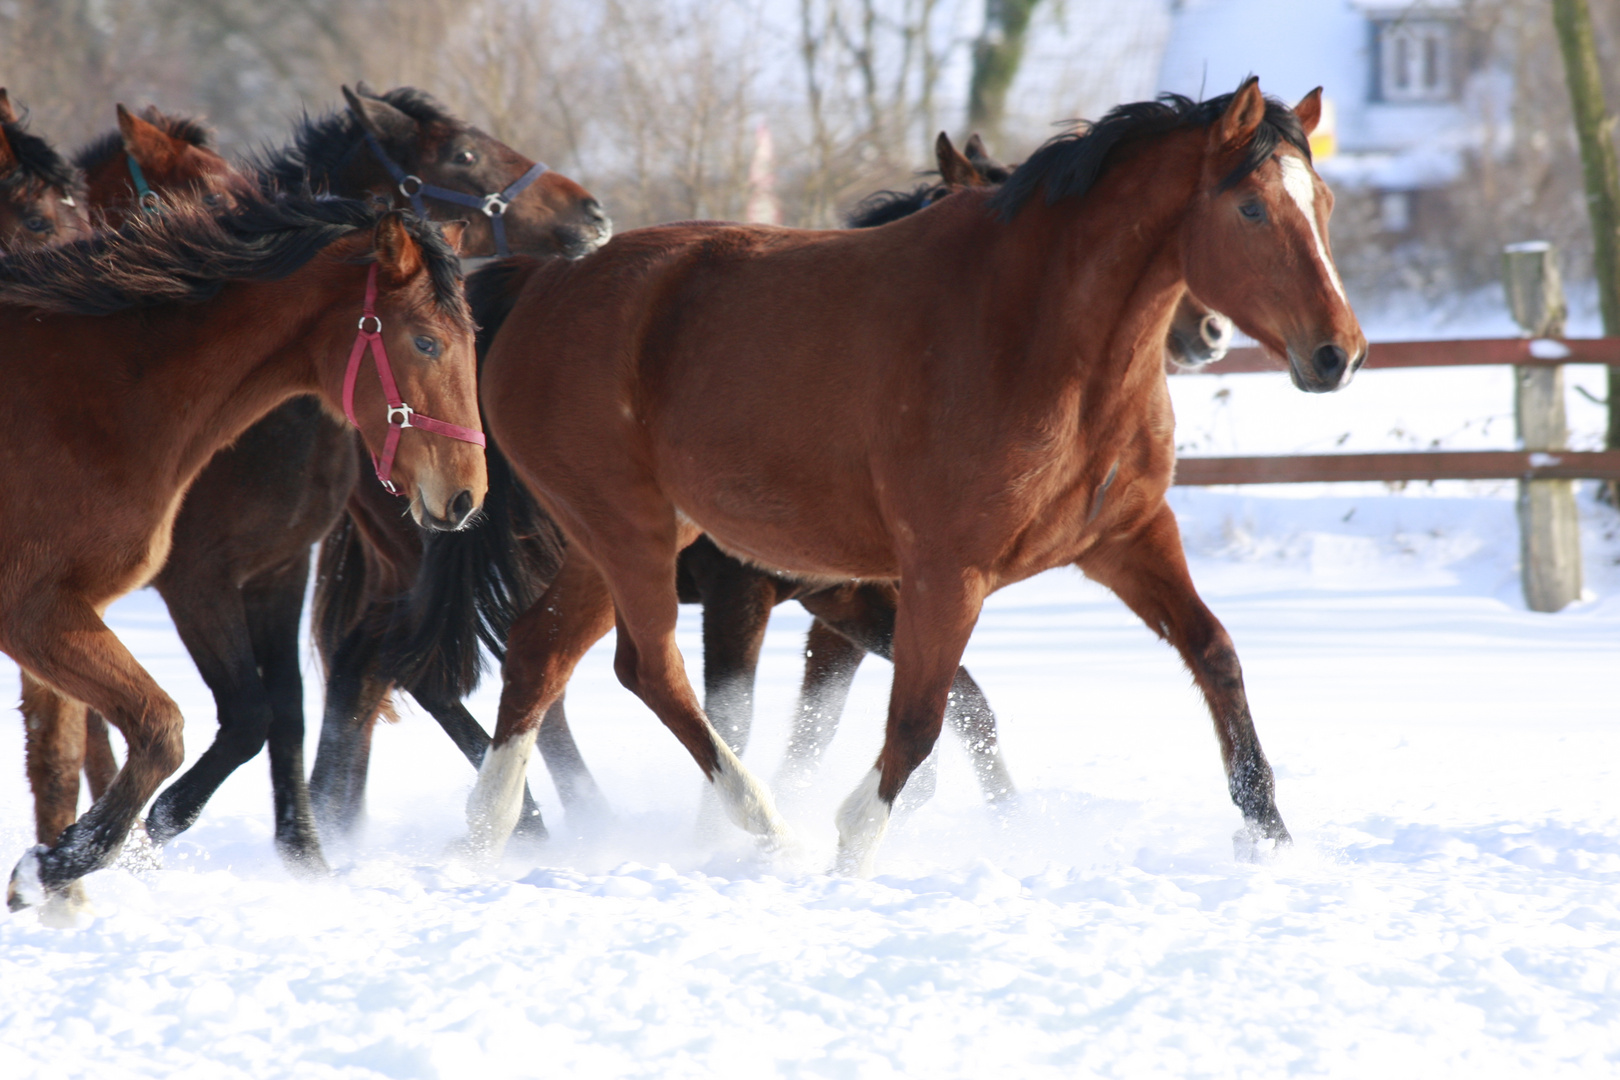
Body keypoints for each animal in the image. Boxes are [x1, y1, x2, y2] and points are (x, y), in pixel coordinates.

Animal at [6, 191, 486, 913]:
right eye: (426, 341)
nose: (466, 496)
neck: (87, 402)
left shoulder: (265, 578)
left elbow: (268, 713)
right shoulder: (56, 607)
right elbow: (173, 726)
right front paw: (82, 857)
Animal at [450, 80, 1360, 874]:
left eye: (1322, 205)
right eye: (1250, 208)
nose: (1338, 353)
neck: (1041, 341)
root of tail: (539, 286)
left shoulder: (1127, 539)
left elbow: (1216, 655)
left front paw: (1271, 835)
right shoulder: (941, 573)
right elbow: (918, 717)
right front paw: (855, 845)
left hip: (615, 540)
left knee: (538, 654)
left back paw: (491, 829)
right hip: (629, 532)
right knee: (649, 672)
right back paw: (769, 829)